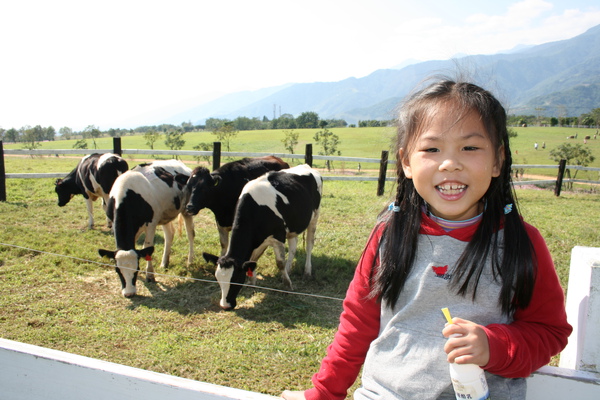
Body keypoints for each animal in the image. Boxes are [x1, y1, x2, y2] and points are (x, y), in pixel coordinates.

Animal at [97, 160, 193, 296]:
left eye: (137, 269)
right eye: (117, 270)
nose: (129, 293)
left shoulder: (151, 224)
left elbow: (147, 247)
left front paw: (150, 275)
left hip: (186, 210)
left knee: (190, 235)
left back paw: (190, 261)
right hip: (164, 215)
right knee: (169, 235)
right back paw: (164, 262)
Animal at [213, 164, 322, 310]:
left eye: (235, 280)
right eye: (218, 279)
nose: (225, 306)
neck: (255, 210)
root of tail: (306, 166)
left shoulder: (277, 237)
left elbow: (280, 262)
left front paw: (288, 285)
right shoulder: (258, 241)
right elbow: (253, 259)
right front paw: (252, 282)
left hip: (314, 217)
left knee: (309, 245)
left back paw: (307, 272)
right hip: (292, 227)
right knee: (293, 247)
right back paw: (288, 270)